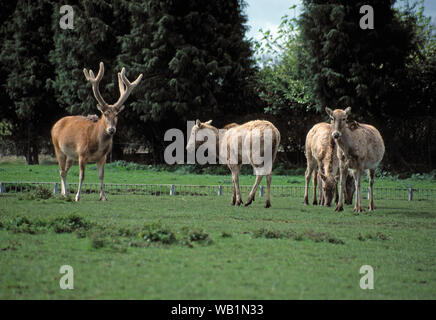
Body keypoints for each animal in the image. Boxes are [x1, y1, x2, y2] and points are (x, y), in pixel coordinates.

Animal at [51, 61, 142, 201]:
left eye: (117, 115)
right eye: (105, 114)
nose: (111, 129)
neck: (96, 143)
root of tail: (55, 124)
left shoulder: (103, 157)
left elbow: (101, 175)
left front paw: (103, 196)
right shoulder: (82, 153)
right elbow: (81, 176)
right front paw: (77, 196)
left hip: (71, 155)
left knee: (65, 170)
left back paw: (63, 193)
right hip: (58, 148)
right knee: (61, 171)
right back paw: (66, 193)